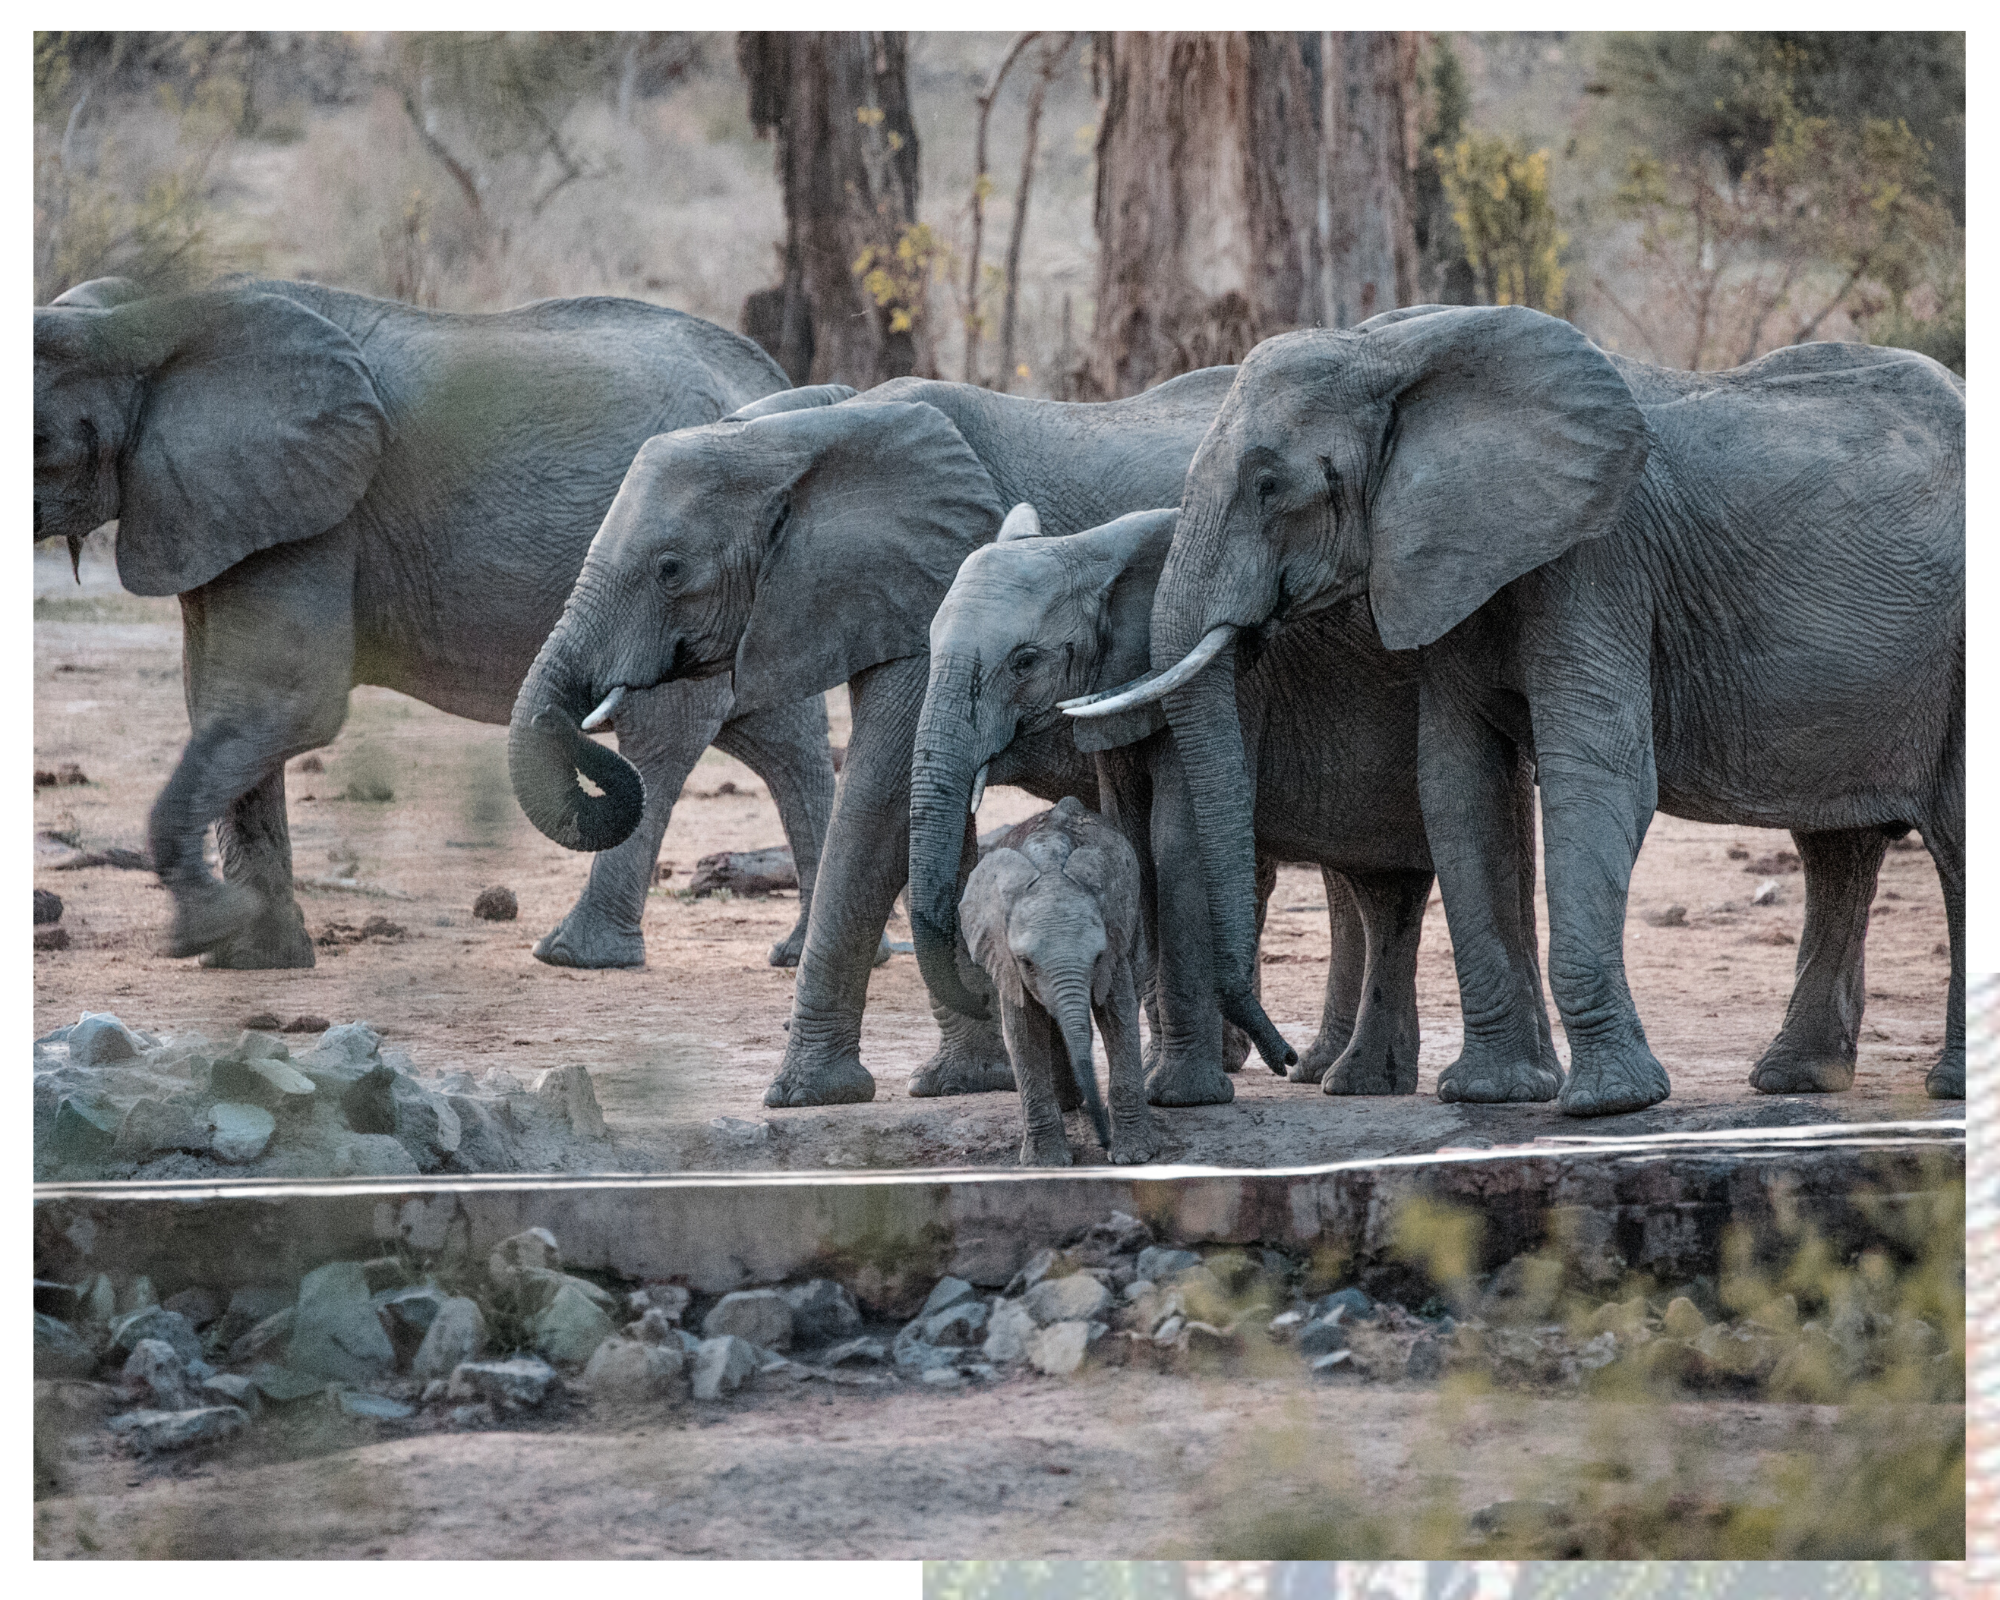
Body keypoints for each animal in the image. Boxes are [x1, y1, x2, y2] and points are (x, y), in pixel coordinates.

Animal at [31, 276, 848, 968]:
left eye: (37, 444)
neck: (137, 320)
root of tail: (777, 385)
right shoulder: (225, 508)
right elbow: (221, 704)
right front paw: (254, 958)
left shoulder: (315, 515)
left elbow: (284, 704)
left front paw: (204, 932)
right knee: (783, 740)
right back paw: (804, 955)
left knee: (664, 733)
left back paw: (574, 956)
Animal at [508, 368, 1360, 1104]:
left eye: (670, 569)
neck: (802, 433)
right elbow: (924, 810)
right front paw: (964, 1081)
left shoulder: (929, 584)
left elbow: (883, 805)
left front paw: (802, 1097)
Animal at [916, 506, 1552, 1104]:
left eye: (1024, 661)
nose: (1282, 1057)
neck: (1092, 550)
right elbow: (1132, 838)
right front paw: (1160, 1081)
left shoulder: (1231, 687)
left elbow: (1177, 839)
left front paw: (1180, 1097)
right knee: (1384, 893)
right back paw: (1358, 1081)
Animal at [960, 796, 1168, 1160]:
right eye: (1026, 962)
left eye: (1097, 957)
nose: (1102, 1142)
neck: (1049, 864)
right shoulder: (1006, 961)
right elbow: (1022, 1030)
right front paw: (1045, 1161)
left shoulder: (1114, 943)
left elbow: (1119, 1017)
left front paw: (1134, 1156)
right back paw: (1067, 1102)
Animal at [1080, 306, 1968, 1120]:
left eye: (1270, 486)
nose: (1284, 1056)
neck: (1392, 349)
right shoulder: (1456, 567)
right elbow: (1458, 786)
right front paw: (1491, 1095)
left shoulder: (1599, 560)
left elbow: (1593, 778)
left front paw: (1612, 1105)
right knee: (1837, 850)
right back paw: (1797, 1079)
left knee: (1951, 838)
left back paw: (1947, 1088)